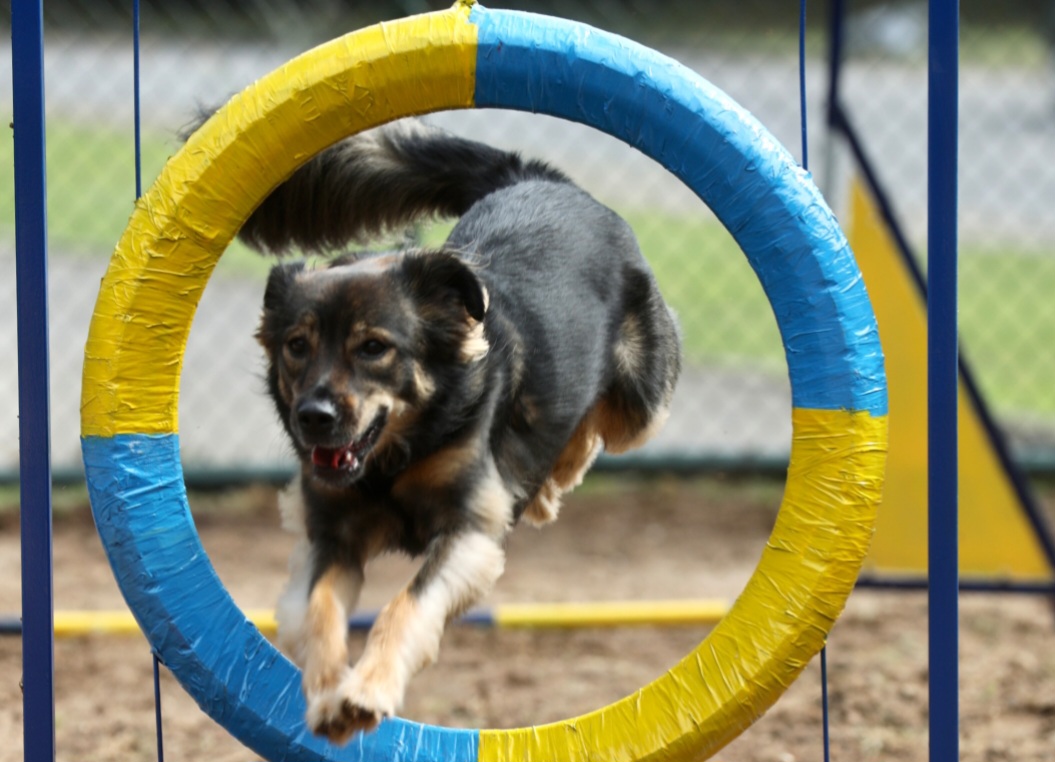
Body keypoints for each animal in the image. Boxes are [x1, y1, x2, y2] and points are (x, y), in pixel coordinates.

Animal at [226, 115, 679, 738]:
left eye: (373, 348)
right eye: (297, 346)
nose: (313, 419)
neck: (397, 459)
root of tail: (535, 178)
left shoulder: (466, 533)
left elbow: (405, 607)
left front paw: (367, 689)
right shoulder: (331, 535)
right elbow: (317, 609)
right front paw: (326, 695)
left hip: (641, 399)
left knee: (601, 423)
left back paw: (549, 486)